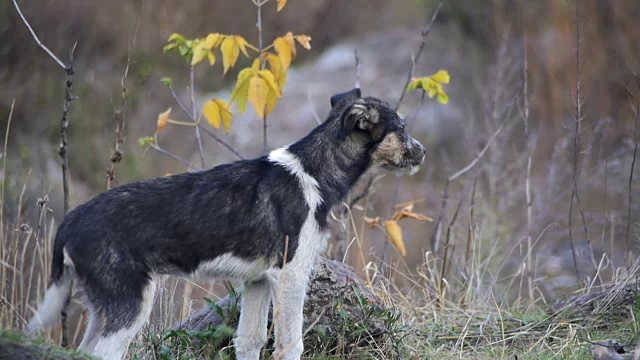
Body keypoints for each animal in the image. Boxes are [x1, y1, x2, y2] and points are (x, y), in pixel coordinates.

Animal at [26, 88, 424, 360]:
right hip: (129, 306)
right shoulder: (291, 275)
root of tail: (72, 220)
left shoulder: (258, 282)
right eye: (401, 128)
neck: (313, 173)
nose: (422, 152)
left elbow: (249, 342)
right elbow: (290, 345)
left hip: (103, 309)